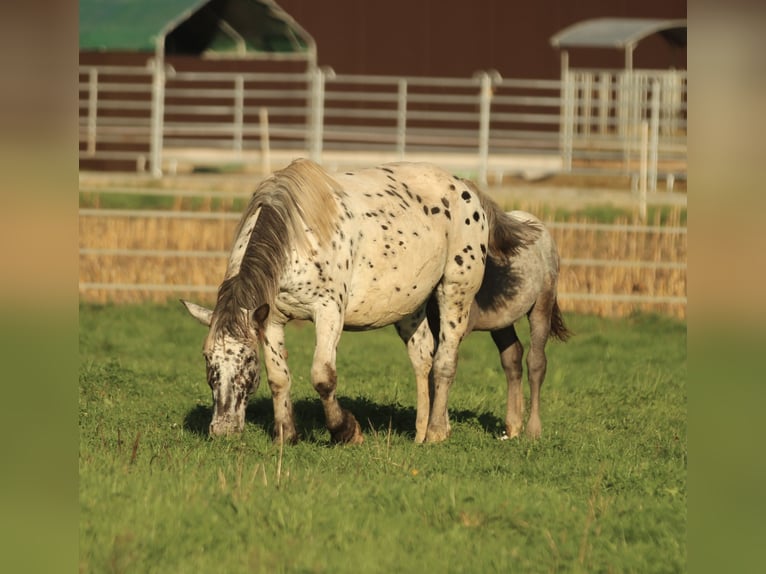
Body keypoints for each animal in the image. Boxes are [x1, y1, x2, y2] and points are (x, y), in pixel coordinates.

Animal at [184, 159, 540, 446]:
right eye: (207, 359)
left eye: (246, 361)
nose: (222, 429)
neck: (297, 236)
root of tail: (466, 187)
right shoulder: (271, 319)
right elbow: (279, 377)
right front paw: (286, 435)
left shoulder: (328, 313)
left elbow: (323, 376)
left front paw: (346, 431)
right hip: (411, 309)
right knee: (423, 359)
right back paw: (421, 432)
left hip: (455, 293)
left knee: (445, 362)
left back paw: (438, 431)